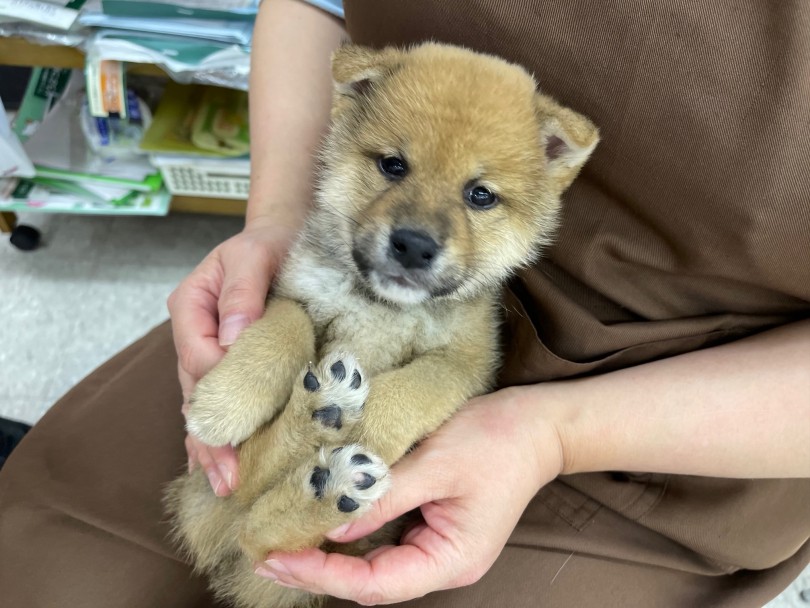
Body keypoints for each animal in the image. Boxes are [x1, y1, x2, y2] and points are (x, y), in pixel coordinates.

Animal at [164, 42, 596, 608]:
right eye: (394, 165)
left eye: (480, 195)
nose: (413, 244)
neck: (383, 306)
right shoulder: (294, 291)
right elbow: (284, 329)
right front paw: (228, 399)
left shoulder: (465, 363)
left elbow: (414, 389)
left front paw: (367, 425)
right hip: (212, 491)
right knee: (249, 494)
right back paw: (321, 423)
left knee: (261, 531)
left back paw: (330, 478)